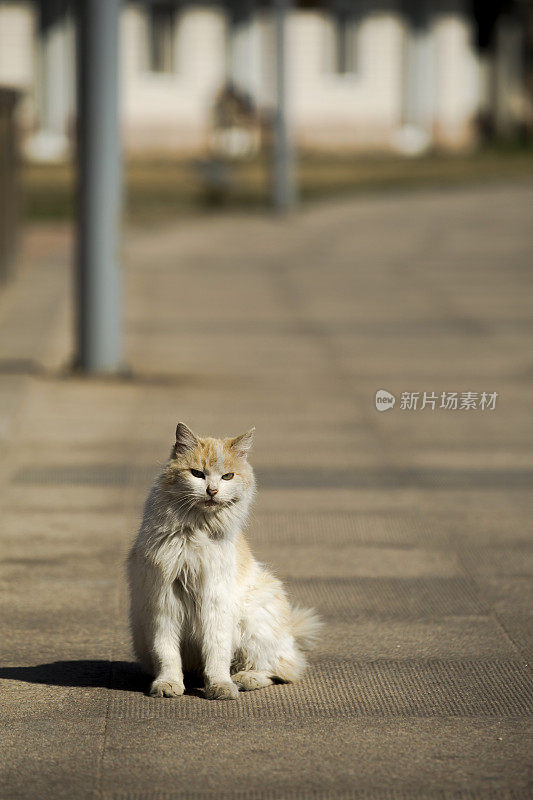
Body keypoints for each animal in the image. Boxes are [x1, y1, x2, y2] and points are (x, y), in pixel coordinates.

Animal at [128, 422, 320, 696]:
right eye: (197, 473)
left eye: (227, 476)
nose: (212, 491)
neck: (195, 533)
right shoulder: (163, 601)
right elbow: (166, 652)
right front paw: (168, 684)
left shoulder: (215, 601)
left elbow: (216, 650)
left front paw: (220, 686)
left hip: (254, 622)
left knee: (280, 668)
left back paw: (245, 679)